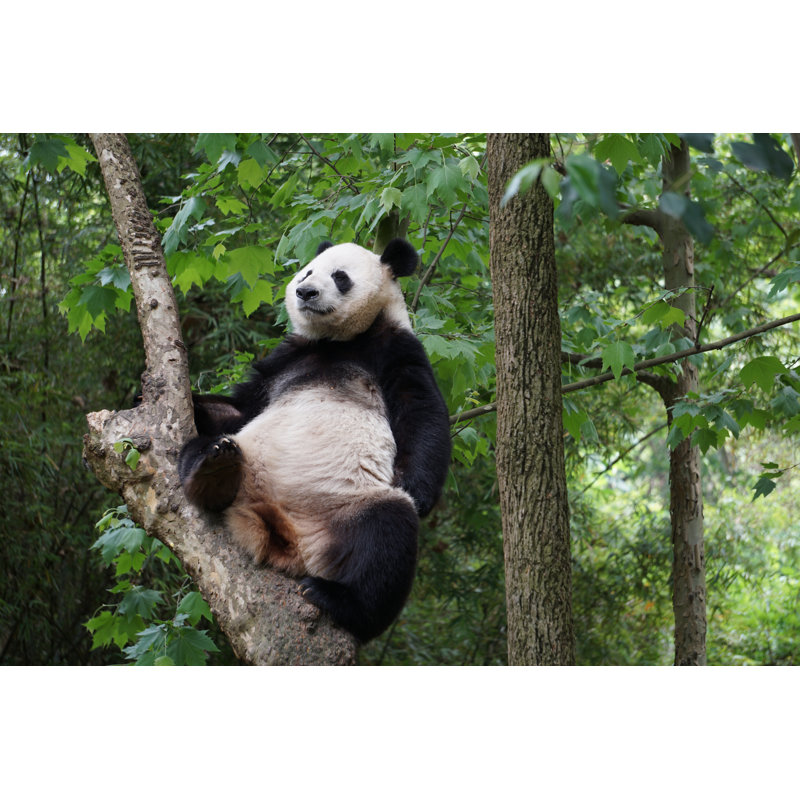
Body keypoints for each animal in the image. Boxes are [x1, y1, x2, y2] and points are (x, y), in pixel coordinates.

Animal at [178, 238, 452, 642]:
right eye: (307, 271)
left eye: (340, 277)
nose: (305, 292)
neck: (337, 341)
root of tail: (283, 536)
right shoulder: (287, 357)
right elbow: (242, 407)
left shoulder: (397, 347)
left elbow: (421, 409)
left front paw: (416, 488)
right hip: (247, 471)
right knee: (203, 447)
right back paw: (212, 470)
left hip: (343, 507)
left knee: (389, 534)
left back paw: (339, 599)